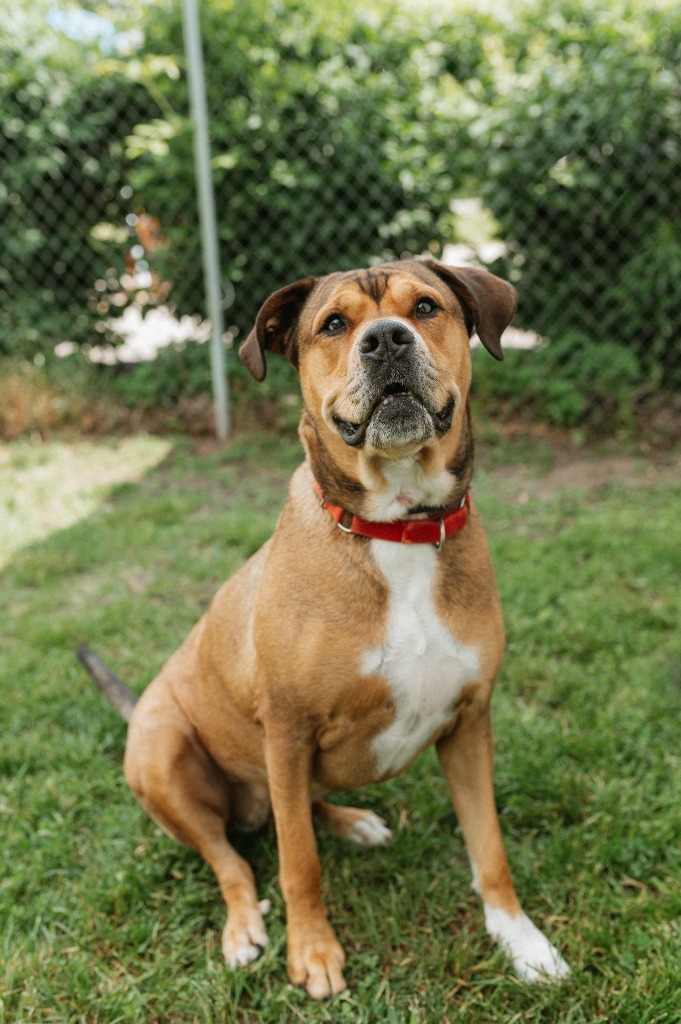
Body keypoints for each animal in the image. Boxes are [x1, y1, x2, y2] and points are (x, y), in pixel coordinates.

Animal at [78, 258, 569, 999]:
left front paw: (522, 941)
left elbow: (489, 848)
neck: (396, 526)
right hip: (165, 751)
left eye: (426, 307)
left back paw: (352, 822)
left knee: (298, 812)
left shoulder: (468, 723)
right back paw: (244, 925)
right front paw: (310, 952)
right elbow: (297, 864)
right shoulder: (287, 729)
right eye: (333, 324)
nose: (386, 340)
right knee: (235, 855)